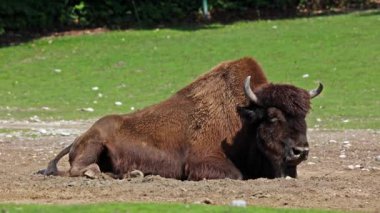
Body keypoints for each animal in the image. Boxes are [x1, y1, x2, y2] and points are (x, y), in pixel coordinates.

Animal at [37, 56, 324, 180]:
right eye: (273, 117)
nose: (300, 151)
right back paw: (102, 174)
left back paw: (134, 174)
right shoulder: (204, 161)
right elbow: (237, 175)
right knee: (78, 169)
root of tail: (79, 136)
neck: (244, 120)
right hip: (94, 143)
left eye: (304, 116)